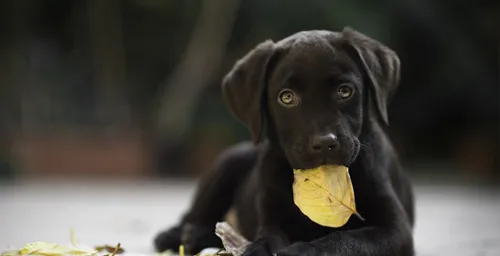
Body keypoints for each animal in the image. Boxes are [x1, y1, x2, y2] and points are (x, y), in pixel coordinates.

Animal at [154, 27, 416, 255]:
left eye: (345, 91)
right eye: (287, 98)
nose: (324, 143)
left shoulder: (395, 230)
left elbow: (347, 239)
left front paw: (304, 250)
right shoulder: (272, 215)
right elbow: (267, 236)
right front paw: (257, 250)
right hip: (228, 161)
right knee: (193, 217)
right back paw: (178, 236)